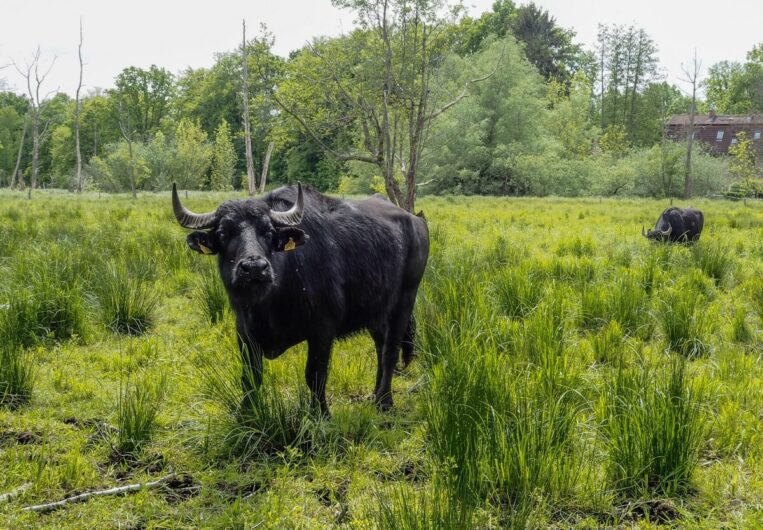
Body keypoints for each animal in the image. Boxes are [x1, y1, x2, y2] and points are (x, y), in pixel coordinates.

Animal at [172, 182, 430, 412]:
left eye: (268, 232)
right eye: (224, 233)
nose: (254, 268)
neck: (268, 305)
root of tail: (416, 221)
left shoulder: (323, 330)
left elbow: (315, 375)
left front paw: (321, 414)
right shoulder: (244, 332)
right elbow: (250, 377)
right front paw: (247, 413)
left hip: (404, 302)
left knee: (390, 350)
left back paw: (384, 402)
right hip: (375, 311)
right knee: (380, 346)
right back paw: (375, 395)